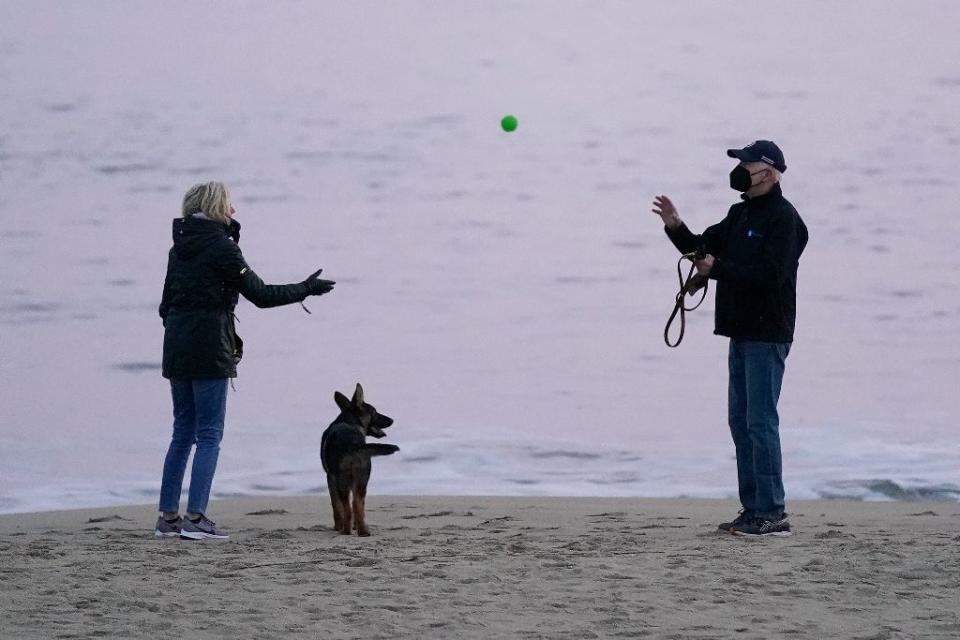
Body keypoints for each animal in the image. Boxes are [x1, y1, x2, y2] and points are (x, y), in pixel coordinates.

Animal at [322, 384, 398, 536]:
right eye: (374, 412)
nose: (392, 420)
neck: (348, 420)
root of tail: (353, 444)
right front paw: (356, 526)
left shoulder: (331, 479)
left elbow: (336, 506)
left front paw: (338, 526)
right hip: (362, 479)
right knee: (357, 504)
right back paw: (363, 530)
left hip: (343, 481)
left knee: (348, 506)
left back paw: (345, 530)